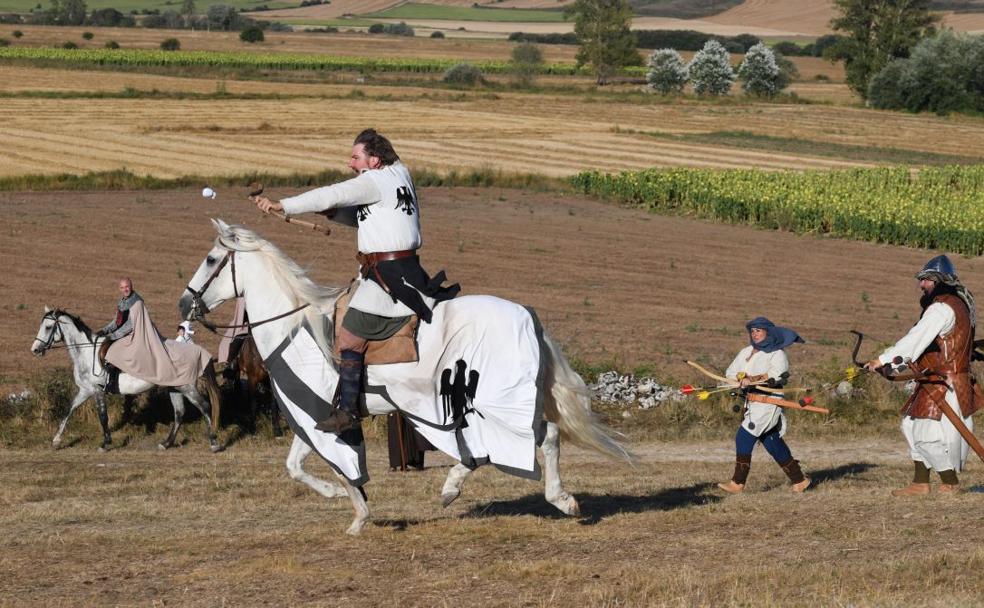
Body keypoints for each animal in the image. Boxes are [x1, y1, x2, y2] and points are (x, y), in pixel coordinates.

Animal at [30, 308, 221, 452]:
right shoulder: (85, 390)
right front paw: (56, 440)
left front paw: (105, 444)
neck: (86, 353)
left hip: (186, 387)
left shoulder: (98, 390)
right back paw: (166, 444)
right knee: (179, 412)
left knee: (204, 406)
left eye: (48, 327)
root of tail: (197, 351)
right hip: (175, 388)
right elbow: (68, 411)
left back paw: (213, 442)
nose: (35, 349)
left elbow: (103, 416)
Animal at [181, 221, 636, 536]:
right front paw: (350, 508)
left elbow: (330, 465)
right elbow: (294, 465)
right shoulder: (316, 414)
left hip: (494, 399)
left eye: (210, 260)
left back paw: (555, 498)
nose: (186, 303)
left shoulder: (315, 410)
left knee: (538, 437)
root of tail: (528, 316)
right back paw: (457, 488)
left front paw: (354, 511)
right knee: (515, 442)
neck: (295, 324)